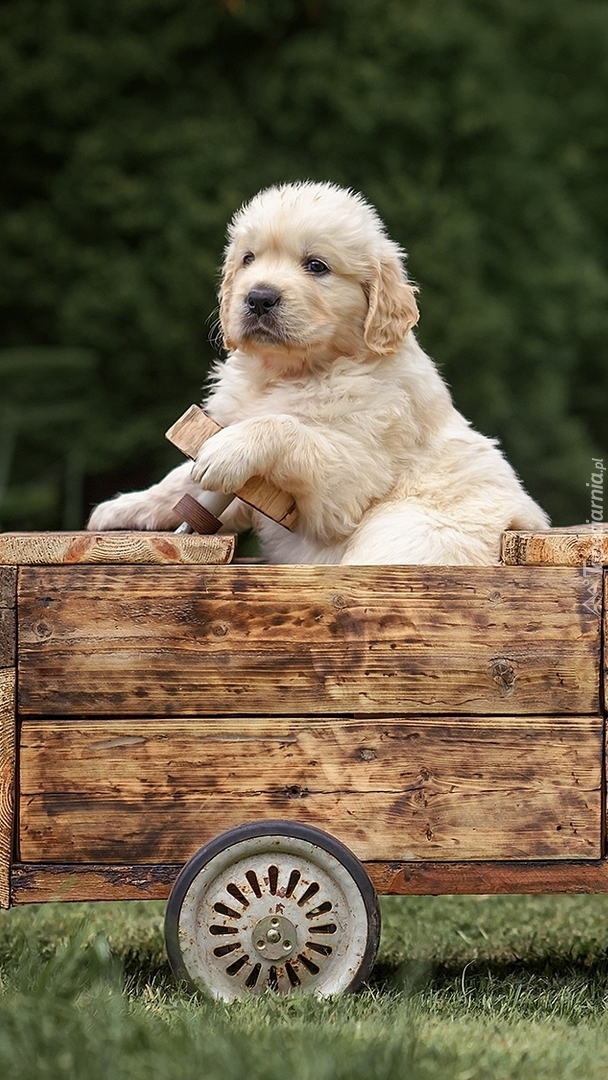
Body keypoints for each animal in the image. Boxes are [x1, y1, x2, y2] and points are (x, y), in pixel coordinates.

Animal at [88, 180, 548, 561]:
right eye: (248, 259)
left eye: (316, 266)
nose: (259, 298)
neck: (291, 370)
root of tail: (521, 524)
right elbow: (185, 481)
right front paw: (124, 506)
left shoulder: (350, 475)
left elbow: (287, 428)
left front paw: (232, 448)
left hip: (411, 534)